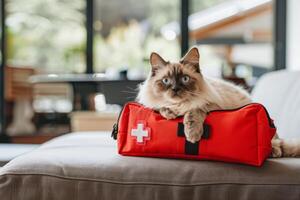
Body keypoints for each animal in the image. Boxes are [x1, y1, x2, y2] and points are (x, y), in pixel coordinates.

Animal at [137, 47, 300, 158]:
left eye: (185, 79)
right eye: (166, 81)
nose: (175, 89)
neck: (180, 105)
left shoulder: (208, 105)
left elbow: (193, 111)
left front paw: (192, 135)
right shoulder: (156, 105)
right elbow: (161, 107)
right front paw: (169, 113)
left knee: (277, 144)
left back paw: (274, 152)